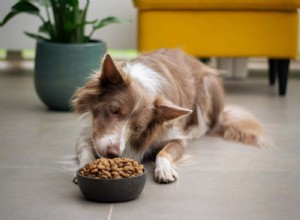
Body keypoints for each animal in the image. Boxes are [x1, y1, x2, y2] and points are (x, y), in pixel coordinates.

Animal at [72, 49, 268, 183]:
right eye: (114, 110)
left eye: (138, 128)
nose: (113, 154)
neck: (142, 83)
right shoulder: (90, 132)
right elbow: (85, 149)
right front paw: (86, 167)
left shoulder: (175, 136)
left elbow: (164, 152)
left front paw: (164, 170)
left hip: (208, 83)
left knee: (207, 125)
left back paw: (194, 131)